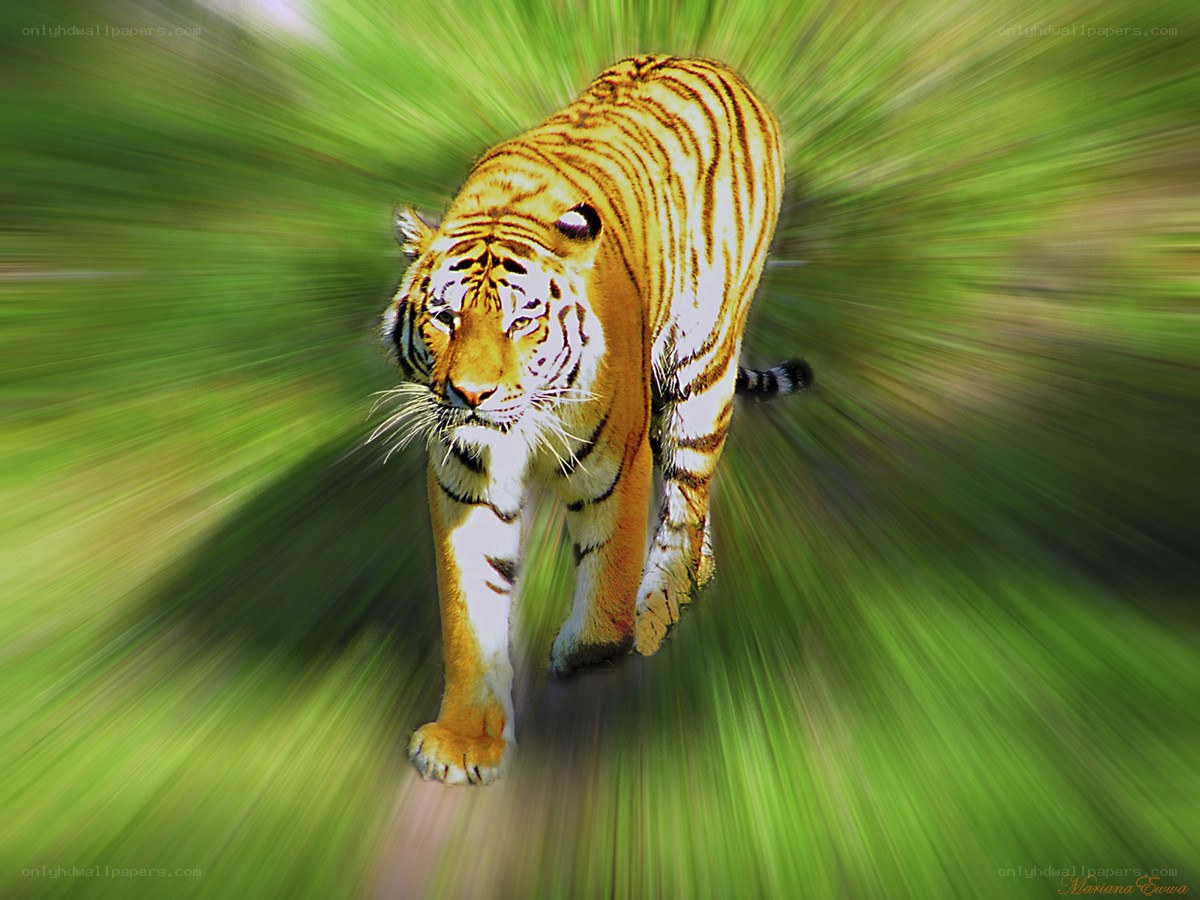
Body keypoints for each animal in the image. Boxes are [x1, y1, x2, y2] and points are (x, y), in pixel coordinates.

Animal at [378, 54, 811, 785]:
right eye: (444, 317)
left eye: (521, 322)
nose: (471, 395)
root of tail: (715, 62)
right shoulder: (466, 486)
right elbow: (472, 612)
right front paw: (465, 740)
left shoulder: (617, 462)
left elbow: (610, 570)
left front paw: (587, 648)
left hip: (701, 370)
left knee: (685, 504)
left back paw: (662, 606)